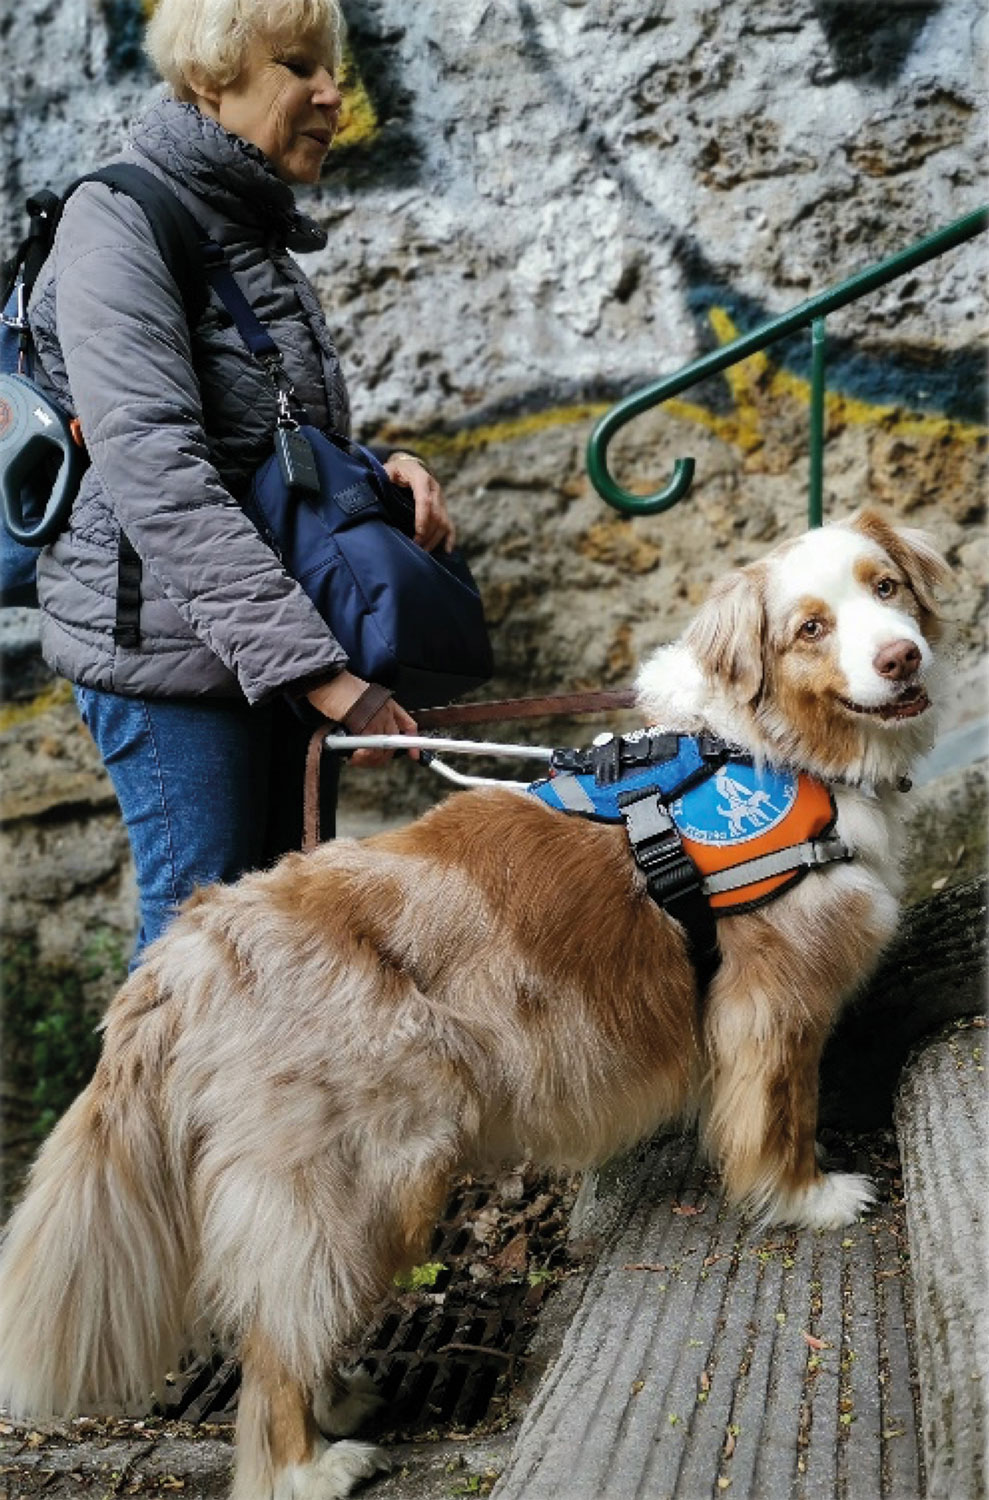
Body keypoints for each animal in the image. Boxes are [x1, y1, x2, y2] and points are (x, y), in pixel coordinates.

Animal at [0, 507, 954, 1500]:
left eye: (884, 587)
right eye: (809, 628)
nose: (900, 658)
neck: (769, 746)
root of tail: (190, 949)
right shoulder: (771, 1000)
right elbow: (783, 1116)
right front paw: (809, 1197)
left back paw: (340, 1400)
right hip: (369, 1173)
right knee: (274, 1347)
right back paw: (309, 1466)